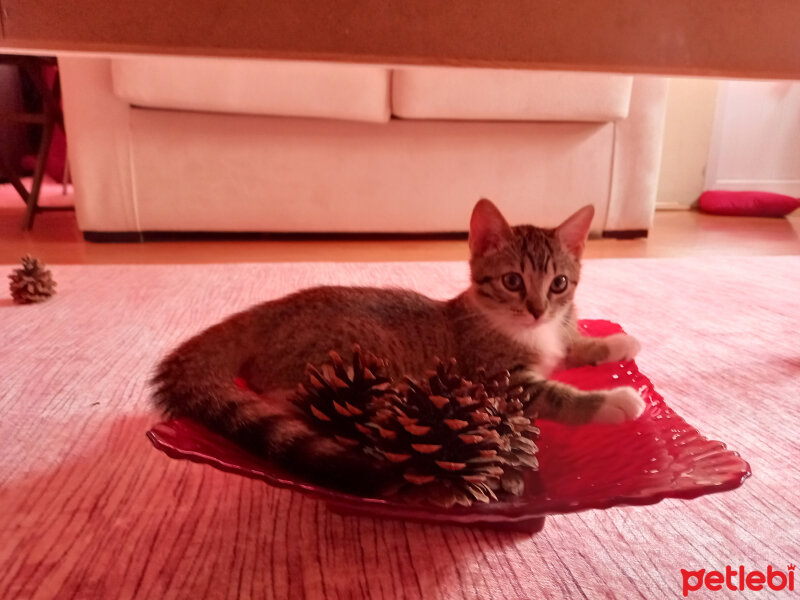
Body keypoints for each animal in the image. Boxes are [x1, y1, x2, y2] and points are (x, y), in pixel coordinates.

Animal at [152, 202, 644, 492]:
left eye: (559, 283)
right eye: (512, 281)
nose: (538, 309)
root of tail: (271, 310)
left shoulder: (554, 339)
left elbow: (571, 347)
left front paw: (614, 342)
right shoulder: (501, 376)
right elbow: (556, 396)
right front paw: (614, 401)